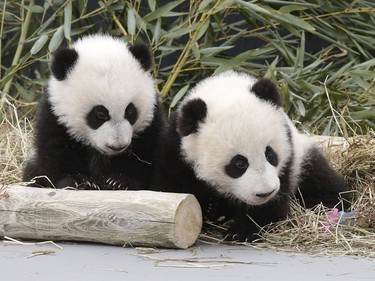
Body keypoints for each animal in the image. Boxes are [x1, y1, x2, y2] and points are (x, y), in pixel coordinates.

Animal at [22, 34, 166, 189]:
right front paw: (80, 181)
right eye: (100, 114)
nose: (117, 146)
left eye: (129, 111)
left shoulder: (151, 120)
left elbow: (143, 153)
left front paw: (119, 182)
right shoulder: (55, 116)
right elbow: (57, 150)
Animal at [153, 70, 352, 241]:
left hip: (303, 157)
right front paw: (208, 209)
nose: (265, 192)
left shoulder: (288, 157)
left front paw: (242, 231)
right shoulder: (178, 151)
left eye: (270, 154)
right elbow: (176, 187)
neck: (224, 88)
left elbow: (273, 203)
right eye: (239, 163)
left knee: (321, 181)